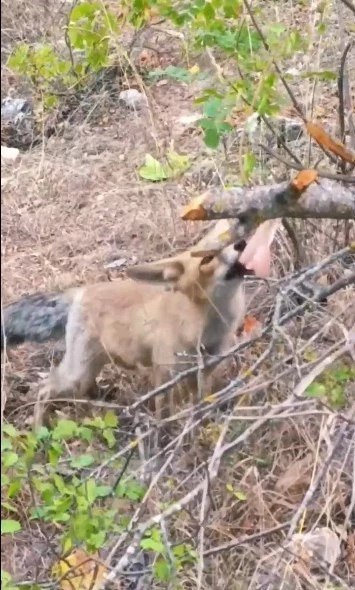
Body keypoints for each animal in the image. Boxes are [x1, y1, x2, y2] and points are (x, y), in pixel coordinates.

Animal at [2, 221, 280, 420]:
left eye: (229, 244)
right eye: (207, 259)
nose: (242, 244)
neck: (207, 326)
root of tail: (80, 292)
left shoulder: (205, 368)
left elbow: (200, 401)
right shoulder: (165, 370)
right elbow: (165, 413)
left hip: (88, 372)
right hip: (77, 373)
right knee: (43, 389)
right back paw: (39, 431)